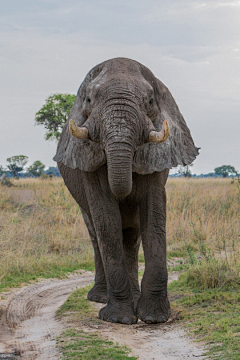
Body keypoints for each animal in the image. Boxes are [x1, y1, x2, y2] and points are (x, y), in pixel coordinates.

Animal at [54, 57, 199, 324]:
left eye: (150, 102)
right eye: (88, 100)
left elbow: (153, 214)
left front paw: (154, 317)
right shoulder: (87, 157)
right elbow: (107, 222)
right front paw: (118, 319)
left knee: (131, 237)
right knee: (96, 234)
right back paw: (99, 297)